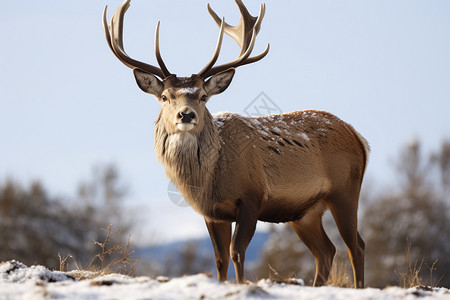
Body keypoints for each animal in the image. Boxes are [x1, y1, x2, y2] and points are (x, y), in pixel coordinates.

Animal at [103, 0, 370, 288]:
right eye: (164, 96)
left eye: (203, 96)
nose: (186, 115)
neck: (209, 180)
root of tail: (358, 136)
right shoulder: (212, 213)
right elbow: (220, 259)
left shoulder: (251, 197)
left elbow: (237, 252)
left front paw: (242, 284)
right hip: (305, 211)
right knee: (326, 251)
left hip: (345, 190)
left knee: (356, 246)